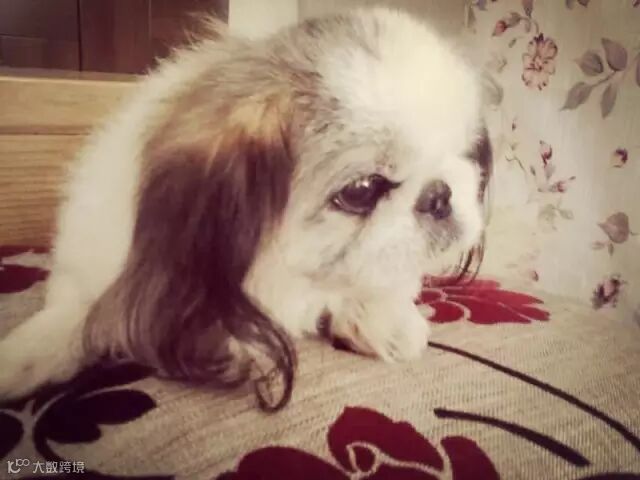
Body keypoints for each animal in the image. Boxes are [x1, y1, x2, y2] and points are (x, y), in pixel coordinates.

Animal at [0, 8, 491, 410]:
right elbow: (75, 313)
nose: (440, 195)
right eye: (362, 190)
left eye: (466, 153)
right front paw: (23, 358)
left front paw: (382, 317)